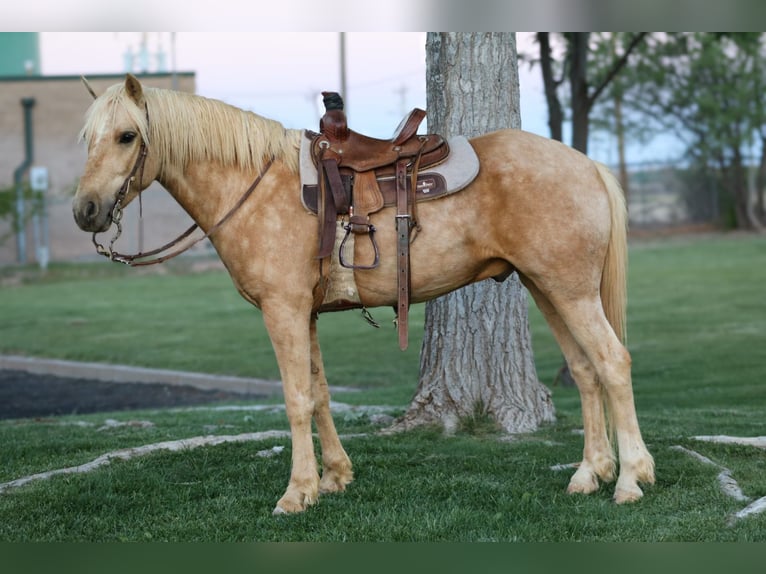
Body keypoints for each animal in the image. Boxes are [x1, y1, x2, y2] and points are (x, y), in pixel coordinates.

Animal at [72, 74, 654, 514]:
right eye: (87, 139)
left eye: (127, 136)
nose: (86, 211)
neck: (253, 186)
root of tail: (586, 163)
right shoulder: (304, 313)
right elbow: (321, 392)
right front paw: (334, 478)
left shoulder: (282, 311)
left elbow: (296, 399)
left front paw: (297, 493)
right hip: (547, 288)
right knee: (585, 371)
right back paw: (590, 473)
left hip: (570, 291)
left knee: (614, 362)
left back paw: (630, 479)